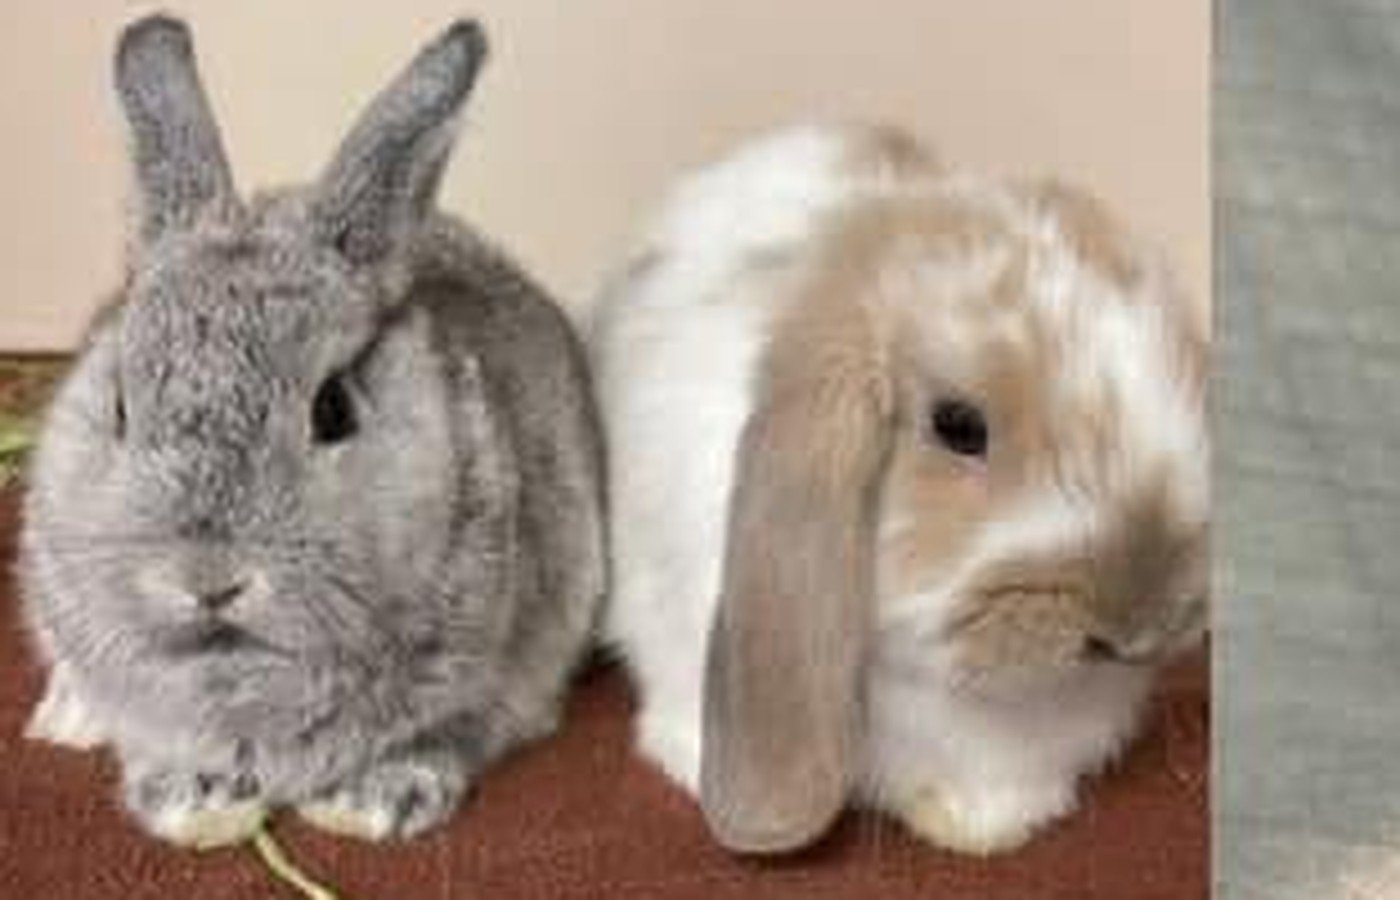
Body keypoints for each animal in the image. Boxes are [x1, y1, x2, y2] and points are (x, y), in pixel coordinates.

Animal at [18, 15, 605, 847]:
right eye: (122, 408)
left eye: (333, 409)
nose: (208, 579)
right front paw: (197, 805)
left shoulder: (497, 683)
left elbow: (443, 738)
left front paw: (366, 804)